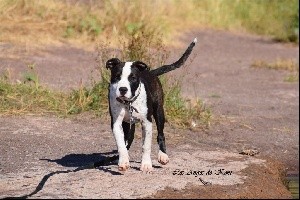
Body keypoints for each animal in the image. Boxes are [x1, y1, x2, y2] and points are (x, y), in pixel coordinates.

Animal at [105, 37, 197, 172]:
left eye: (132, 78)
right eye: (117, 77)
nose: (122, 89)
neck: (129, 102)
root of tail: (151, 72)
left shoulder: (147, 122)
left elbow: (146, 145)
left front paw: (146, 164)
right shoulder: (116, 122)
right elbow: (121, 143)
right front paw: (123, 161)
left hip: (159, 112)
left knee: (161, 134)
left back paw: (163, 155)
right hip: (129, 123)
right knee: (128, 140)